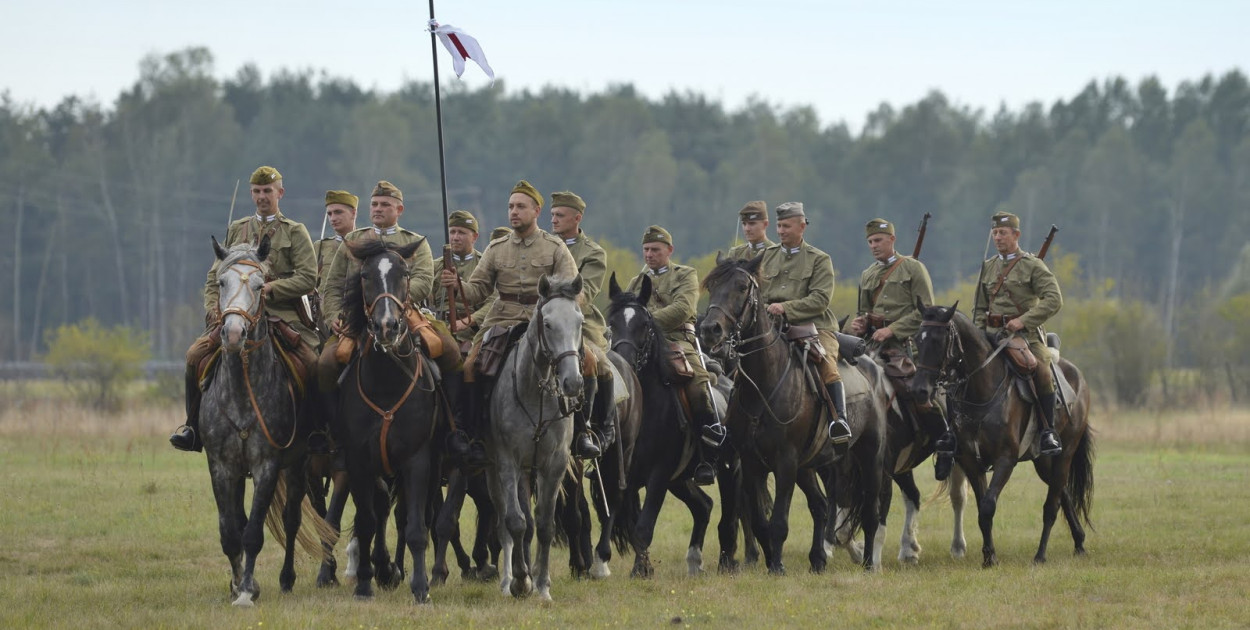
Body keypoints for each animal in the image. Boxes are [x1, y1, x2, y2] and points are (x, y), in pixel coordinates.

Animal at [200, 236, 327, 605]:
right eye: (222, 282)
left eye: (260, 285)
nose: (231, 334)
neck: (243, 390)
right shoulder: (221, 466)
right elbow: (230, 531)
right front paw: (239, 584)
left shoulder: (267, 465)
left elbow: (254, 532)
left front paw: (245, 592)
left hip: (299, 465)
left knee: (291, 518)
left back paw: (287, 578)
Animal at [335, 238, 447, 602]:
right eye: (365, 275)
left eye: (405, 273)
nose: (387, 326)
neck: (386, 382)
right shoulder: (358, 461)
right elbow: (367, 520)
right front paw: (366, 583)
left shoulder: (418, 459)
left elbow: (415, 526)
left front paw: (421, 587)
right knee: (383, 509)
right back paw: (385, 569)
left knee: (408, 514)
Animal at [487, 275, 585, 600]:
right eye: (549, 324)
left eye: (580, 321)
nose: (572, 382)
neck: (535, 393)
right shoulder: (507, 462)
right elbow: (515, 523)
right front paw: (521, 581)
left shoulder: (554, 464)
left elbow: (543, 525)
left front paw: (541, 585)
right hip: (496, 471)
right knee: (505, 522)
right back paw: (508, 581)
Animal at [705, 256, 890, 575]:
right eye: (711, 285)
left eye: (741, 287)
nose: (709, 329)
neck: (764, 384)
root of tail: (874, 368)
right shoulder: (751, 463)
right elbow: (760, 522)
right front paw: (771, 561)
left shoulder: (785, 462)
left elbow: (779, 521)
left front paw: (777, 567)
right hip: (808, 467)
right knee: (820, 505)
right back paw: (817, 559)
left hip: (870, 458)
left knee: (869, 513)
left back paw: (868, 564)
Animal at [910, 303, 1095, 565]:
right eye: (918, 338)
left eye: (938, 340)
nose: (919, 390)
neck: (983, 389)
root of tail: (1077, 375)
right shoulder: (971, 462)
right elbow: (981, 509)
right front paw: (989, 556)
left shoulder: (1005, 460)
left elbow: (988, 505)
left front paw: (991, 557)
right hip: (1043, 461)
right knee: (1063, 494)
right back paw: (1079, 542)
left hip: (1065, 453)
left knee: (1051, 505)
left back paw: (1041, 555)